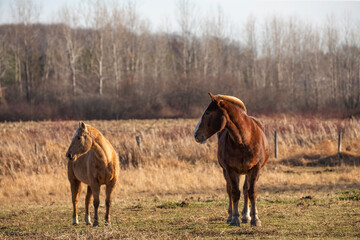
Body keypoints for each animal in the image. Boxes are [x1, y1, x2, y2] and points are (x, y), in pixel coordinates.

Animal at [194, 93, 268, 227]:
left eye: (207, 112)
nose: (196, 134)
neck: (244, 140)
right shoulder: (231, 170)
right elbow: (234, 193)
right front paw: (234, 218)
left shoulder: (255, 169)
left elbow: (251, 192)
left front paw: (255, 218)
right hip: (228, 172)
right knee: (230, 190)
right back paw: (230, 216)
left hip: (249, 172)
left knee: (245, 190)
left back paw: (246, 216)